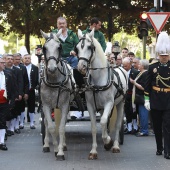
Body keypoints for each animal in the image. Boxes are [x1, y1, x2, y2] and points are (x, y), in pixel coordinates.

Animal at [40, 29, 74, 161]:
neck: (55, 81)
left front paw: (60, 152)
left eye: (59, 47)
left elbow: (61, 128)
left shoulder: (64, 105)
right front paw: (54, 149)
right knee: (46, 123)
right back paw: (46, 145)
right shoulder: (46, 105)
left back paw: (63, 145)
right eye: (44, 48)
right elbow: (51, 127)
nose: (52, 68)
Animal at [75, 28, 127, 159]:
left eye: (90, 47)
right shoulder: (90, 105)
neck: (98, 79)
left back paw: (115, 146)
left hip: (120, 103)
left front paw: (108, 141)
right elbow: (94, 127)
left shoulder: (109, 103)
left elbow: (103, 121)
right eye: (77, 48)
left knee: (117, 124)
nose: (81, 67)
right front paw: (94, 151)